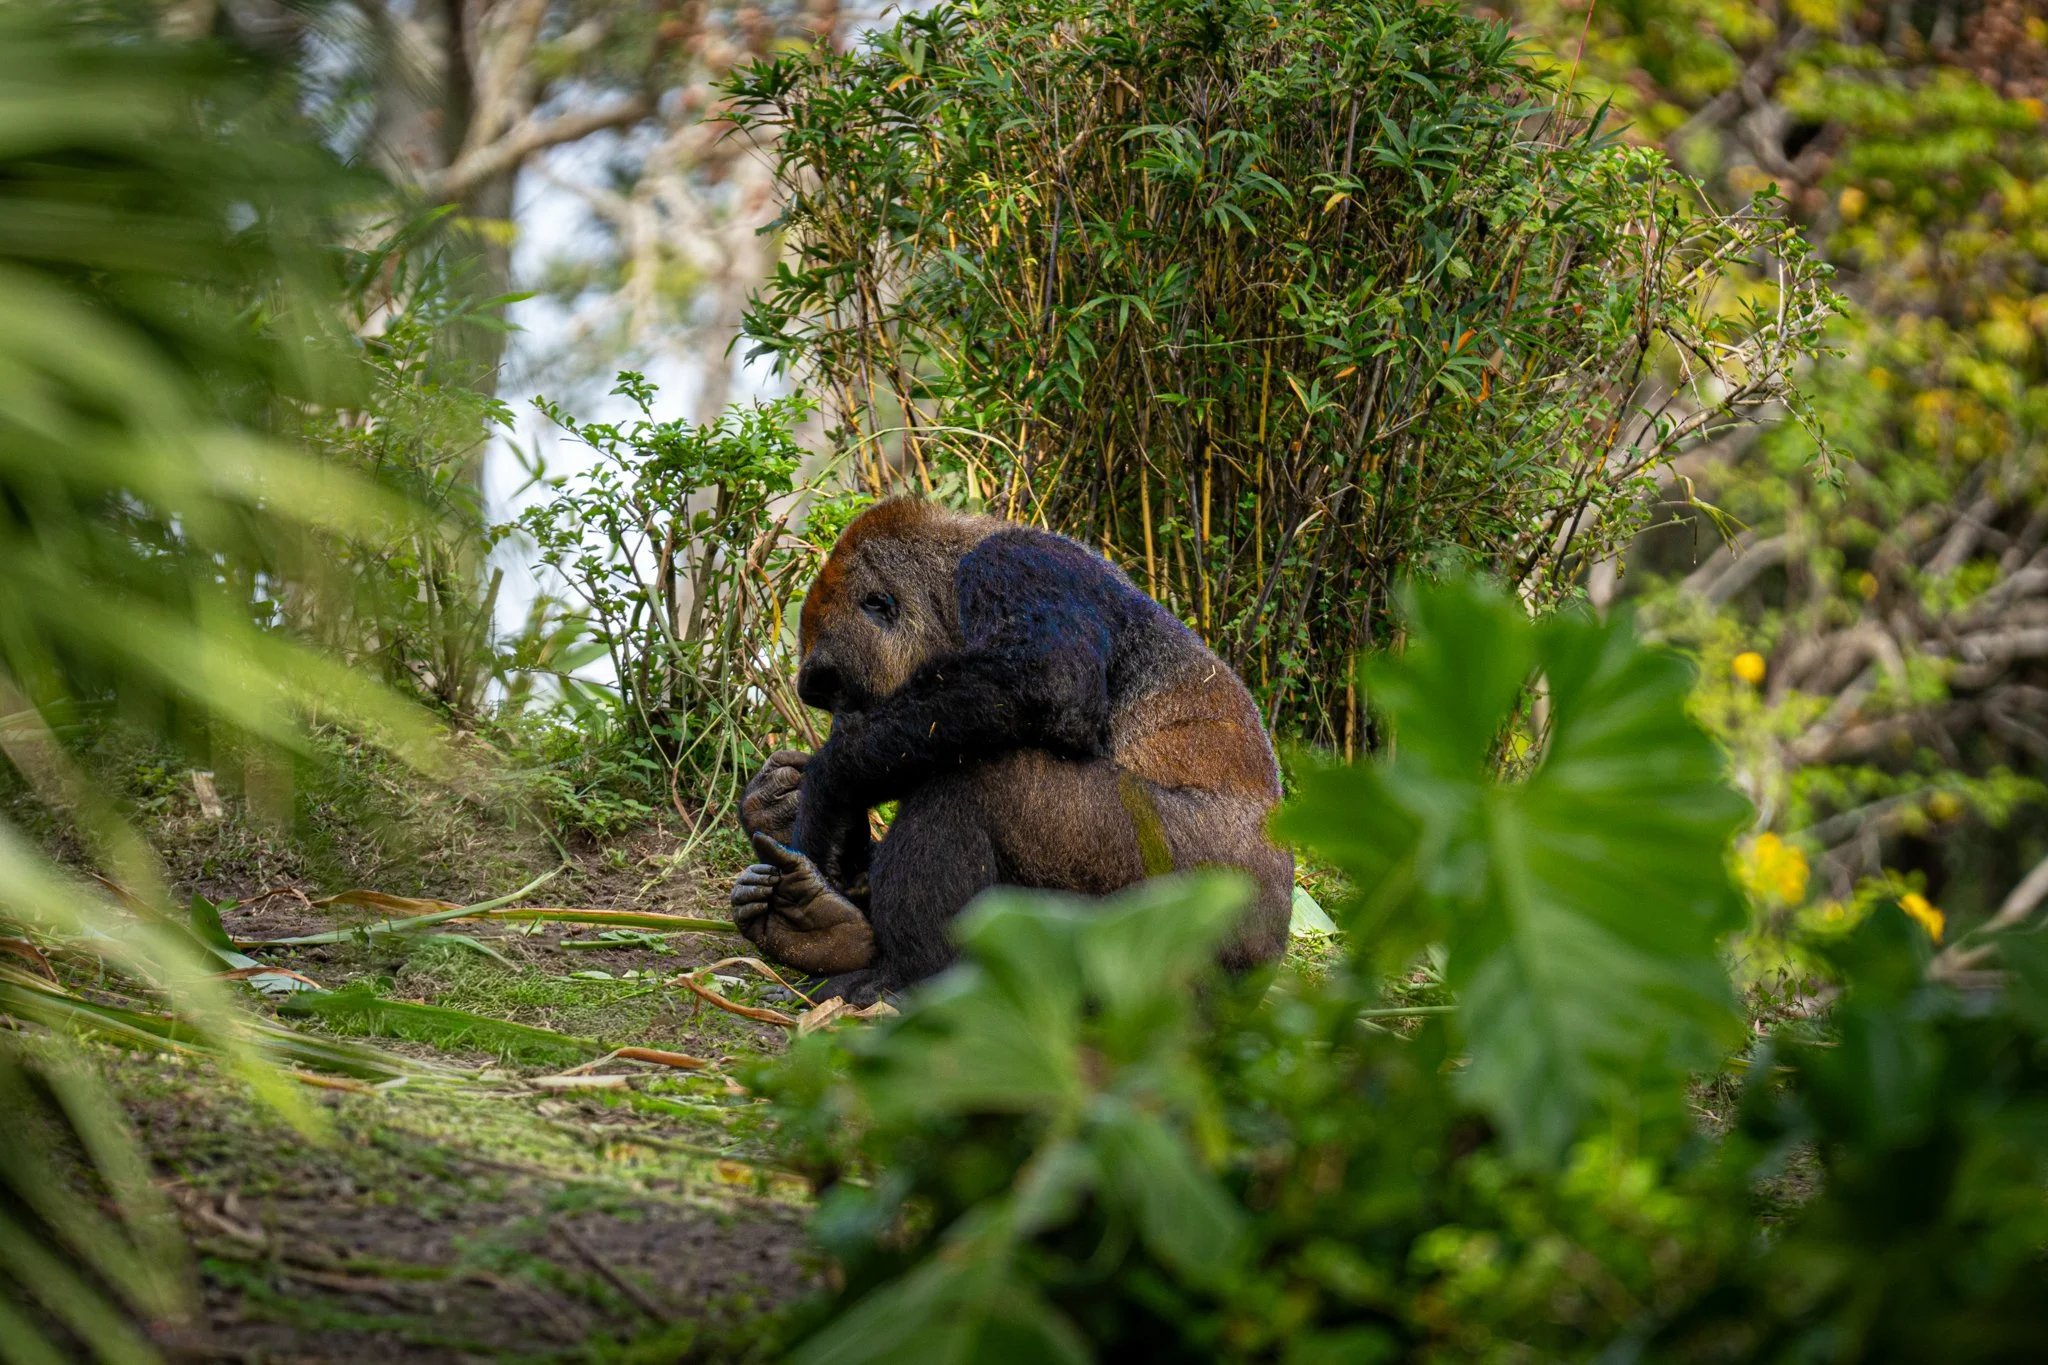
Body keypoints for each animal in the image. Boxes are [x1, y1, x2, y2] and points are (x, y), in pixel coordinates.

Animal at [729, 497, 1293, 1005]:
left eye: (839, 690)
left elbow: (1045, 681)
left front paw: (827, 784)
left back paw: (907, 979)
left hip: (1194, 907)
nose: (841, 726)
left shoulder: (1013, 563)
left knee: (978, 780)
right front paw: (776, 806)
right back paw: (815, 933)